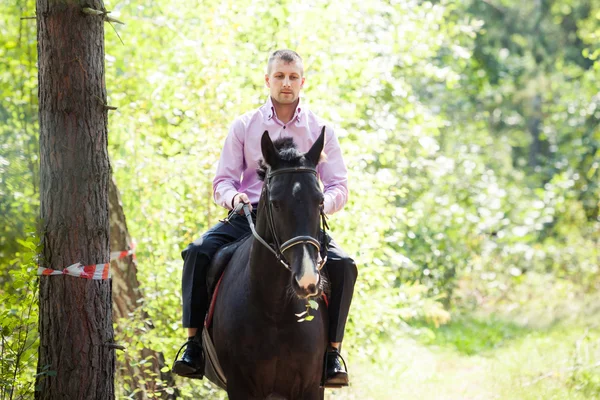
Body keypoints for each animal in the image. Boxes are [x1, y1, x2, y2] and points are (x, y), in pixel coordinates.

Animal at [205, 130, 328, 398]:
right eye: (275, 203)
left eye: (320, 201)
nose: (306, 280)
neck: (275, 311)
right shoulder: (240, 386)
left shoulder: (311, 387)